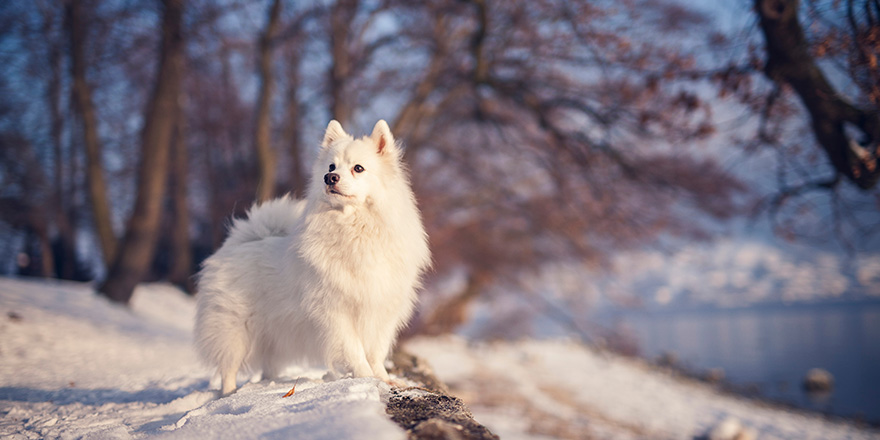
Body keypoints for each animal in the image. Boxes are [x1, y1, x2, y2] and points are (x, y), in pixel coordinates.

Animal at [198, 119, 434, 396]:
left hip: (274, 333)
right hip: (236, 329)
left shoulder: (381, 310)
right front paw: (365, 378)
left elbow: (376, 353)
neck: (355, 229)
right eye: (331, 166)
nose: (329, 177)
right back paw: (229, 393)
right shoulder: (336, 312)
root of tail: (238, 243)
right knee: (229, 367)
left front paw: (384, 379)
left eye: (358, 168)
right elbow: (355, 351)